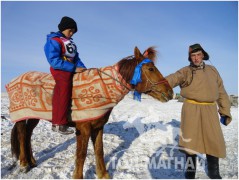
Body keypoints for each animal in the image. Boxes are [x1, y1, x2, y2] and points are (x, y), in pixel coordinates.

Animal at [6, 46, 173, 179]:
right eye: (151, 69)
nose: (170, 92)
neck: (102, 90)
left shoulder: (98, 127)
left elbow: (99, 150)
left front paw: (103, 174)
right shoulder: (83, 128)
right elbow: (81, 154)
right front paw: (78, 176)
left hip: (34, 116)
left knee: (28, 135)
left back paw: (32, 161)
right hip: (21, 116)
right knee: (22, 134)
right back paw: (24, 164)